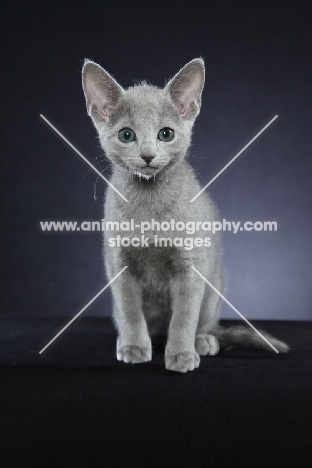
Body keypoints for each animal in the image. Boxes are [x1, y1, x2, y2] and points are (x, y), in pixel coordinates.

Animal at [81, 58, 288, 372]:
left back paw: (203, 342)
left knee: (203, 322)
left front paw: (181, 354)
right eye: (126, 135)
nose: (148, 155)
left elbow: (184, 316)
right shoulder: (118, 263)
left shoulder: (191, 265)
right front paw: (133, 347)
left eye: (165, 133)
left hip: (214, 287)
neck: (149, 204)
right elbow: (130, 310)